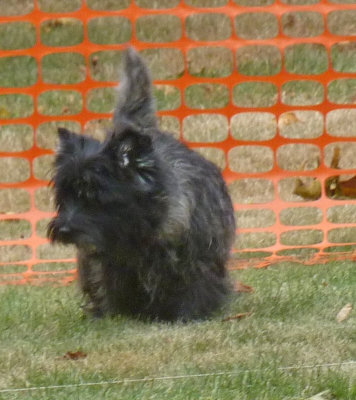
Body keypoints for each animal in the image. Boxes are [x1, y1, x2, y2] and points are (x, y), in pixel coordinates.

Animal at [48, 47, 236, 322]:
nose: (63, 230)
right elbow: (107, 286)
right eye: (65, 197)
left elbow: (194, 286)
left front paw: (188, 316)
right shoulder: (105, 264)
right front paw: (111, 315)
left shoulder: (195, 261)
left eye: (95, 196)